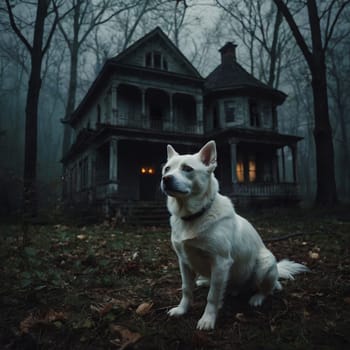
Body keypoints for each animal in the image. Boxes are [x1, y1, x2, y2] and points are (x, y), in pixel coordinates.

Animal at [161, 140, 308, 330]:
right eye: (167, 169)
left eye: (187, 168)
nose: (166, 179)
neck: (195, 215)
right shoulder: (183, 261)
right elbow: (186, 288)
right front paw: (182, 310)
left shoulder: (220, 262)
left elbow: (213, 296)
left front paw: (208, 319)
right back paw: (206, 282)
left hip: (264, 263)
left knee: (270, 288)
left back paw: (257, 298)